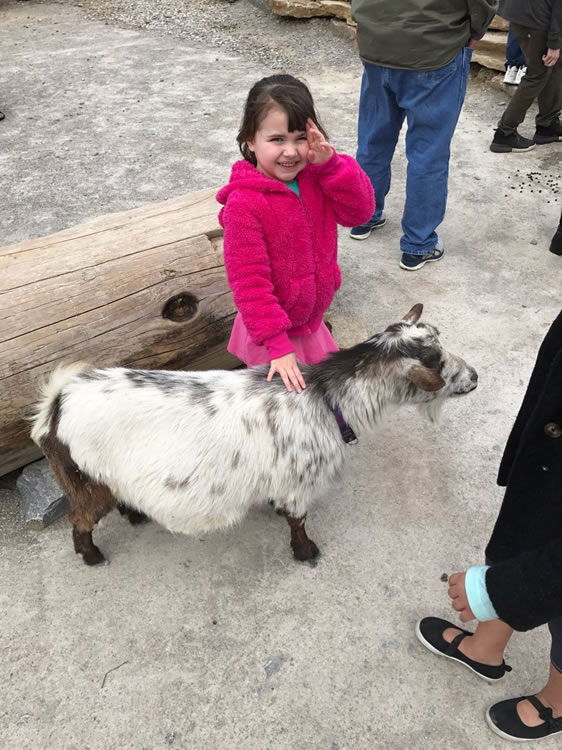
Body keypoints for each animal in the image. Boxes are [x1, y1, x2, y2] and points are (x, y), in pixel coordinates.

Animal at [30, 302, 476, 568]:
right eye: (436, 362)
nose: (474, 377)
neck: (326, 398)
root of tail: (56, 404)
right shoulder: (299, 482)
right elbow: (298, 520)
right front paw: (305, 552)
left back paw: (135, 514)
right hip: (85, 480)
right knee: (80, 519)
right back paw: (92, 556)